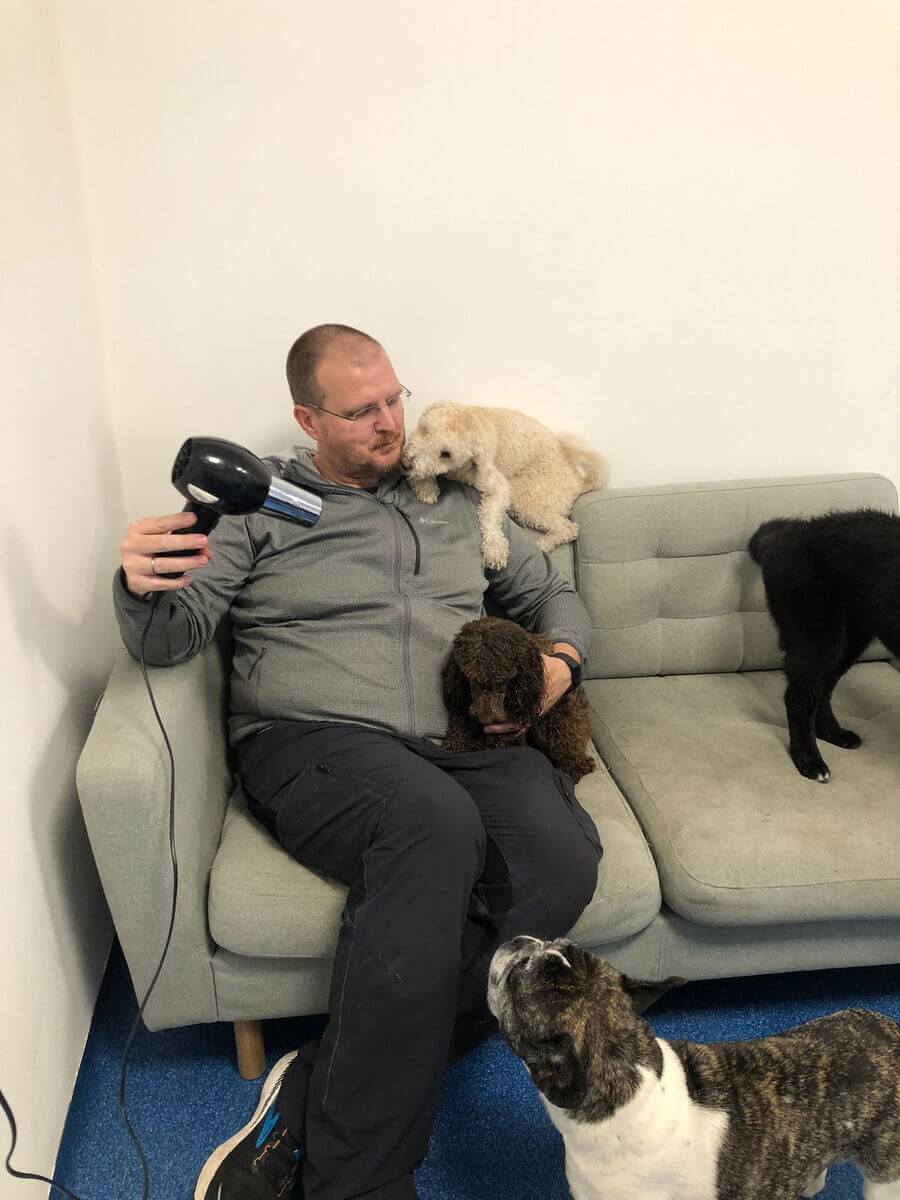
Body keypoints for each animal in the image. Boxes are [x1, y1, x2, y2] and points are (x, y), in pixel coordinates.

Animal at [402, 402, 607, 568]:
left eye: (446, 454)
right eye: (425, 429)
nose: (406, 463)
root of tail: (578, 479)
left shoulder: (498, 486)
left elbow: (489, 515)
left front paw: (495, 549)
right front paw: (426, 488)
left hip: (524, 495)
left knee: (568, 528)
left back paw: (542, 544)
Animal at [749, 509, 900, 782]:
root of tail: (786, 536)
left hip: (849, 640)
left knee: (824, 689)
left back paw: (832, 732)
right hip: (819, 638)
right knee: (798, 697)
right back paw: (809, 759)